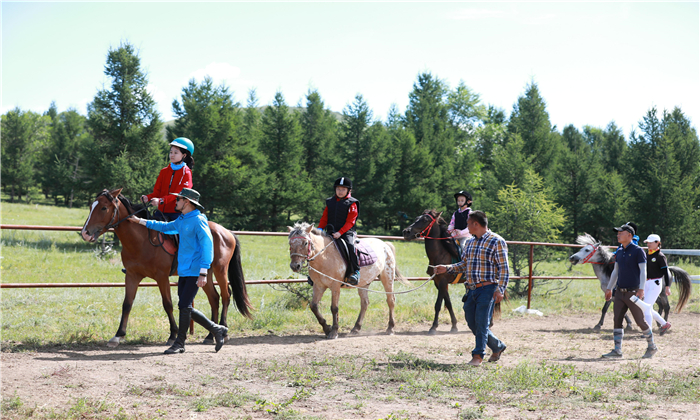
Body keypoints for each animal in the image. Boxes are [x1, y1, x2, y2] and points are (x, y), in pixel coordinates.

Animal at [81, 190, 253, 348]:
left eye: (103, 208)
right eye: (90, 206)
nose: (85, 233)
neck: (141, 240)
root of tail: (226, 231)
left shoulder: (162, 277)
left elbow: (168, 304)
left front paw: (173, 334)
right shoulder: (131, 276)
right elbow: (127, 304)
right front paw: (118, 335)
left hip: (220, 270)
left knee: (225, 296)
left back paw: (224, 331)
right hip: (205, 274)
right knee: (214, 298)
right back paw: (211, 335)